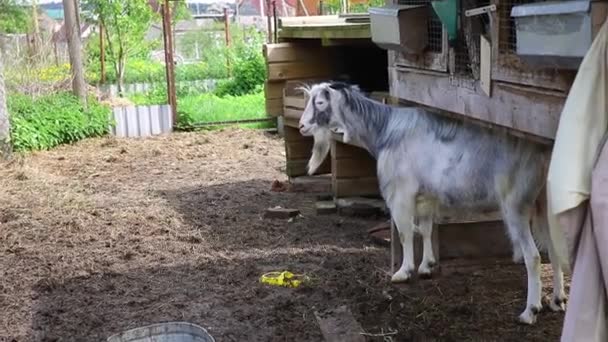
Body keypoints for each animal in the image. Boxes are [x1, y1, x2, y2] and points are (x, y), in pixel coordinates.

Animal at [296, 81, 568, 324]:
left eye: (320, 103)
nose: (301, 126)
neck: (385, 131)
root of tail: (543, 152)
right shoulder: (426, 195)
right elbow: (426, 229)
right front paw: (427, 266)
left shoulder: (401, 193)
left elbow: (405, 233)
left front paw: (403, 272)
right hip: (544, 201)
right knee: (553, 248)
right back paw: (557, 300)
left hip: (515, 204)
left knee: (533, 256)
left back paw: (530, 312)